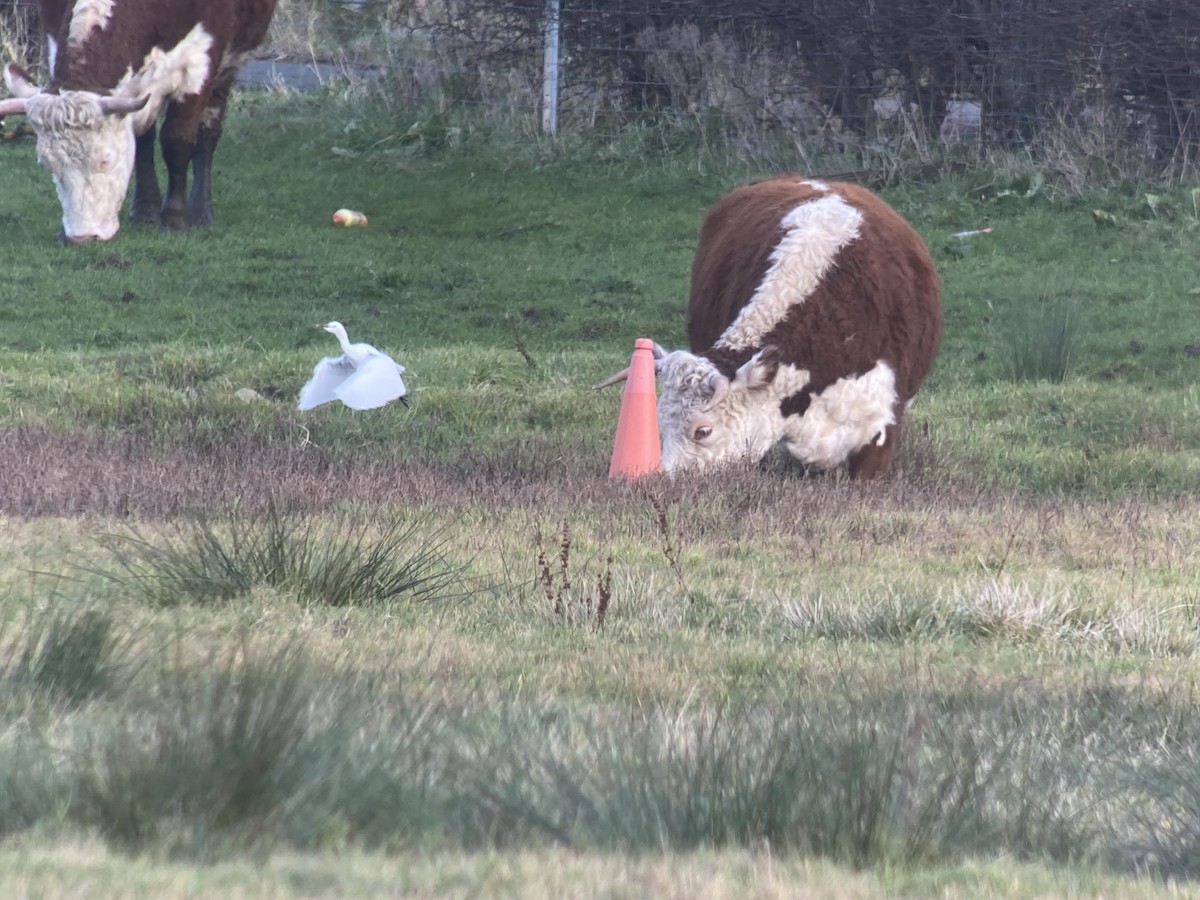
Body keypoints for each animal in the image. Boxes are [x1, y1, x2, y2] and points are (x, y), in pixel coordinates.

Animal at [0, 0, 278, 243]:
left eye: (106, 159)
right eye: (47, 164)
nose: (81, 237)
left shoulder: (200, 63)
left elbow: (177, 141)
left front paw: (175, 218)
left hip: (228, 68)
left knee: (208, 132)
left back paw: (201, 211)